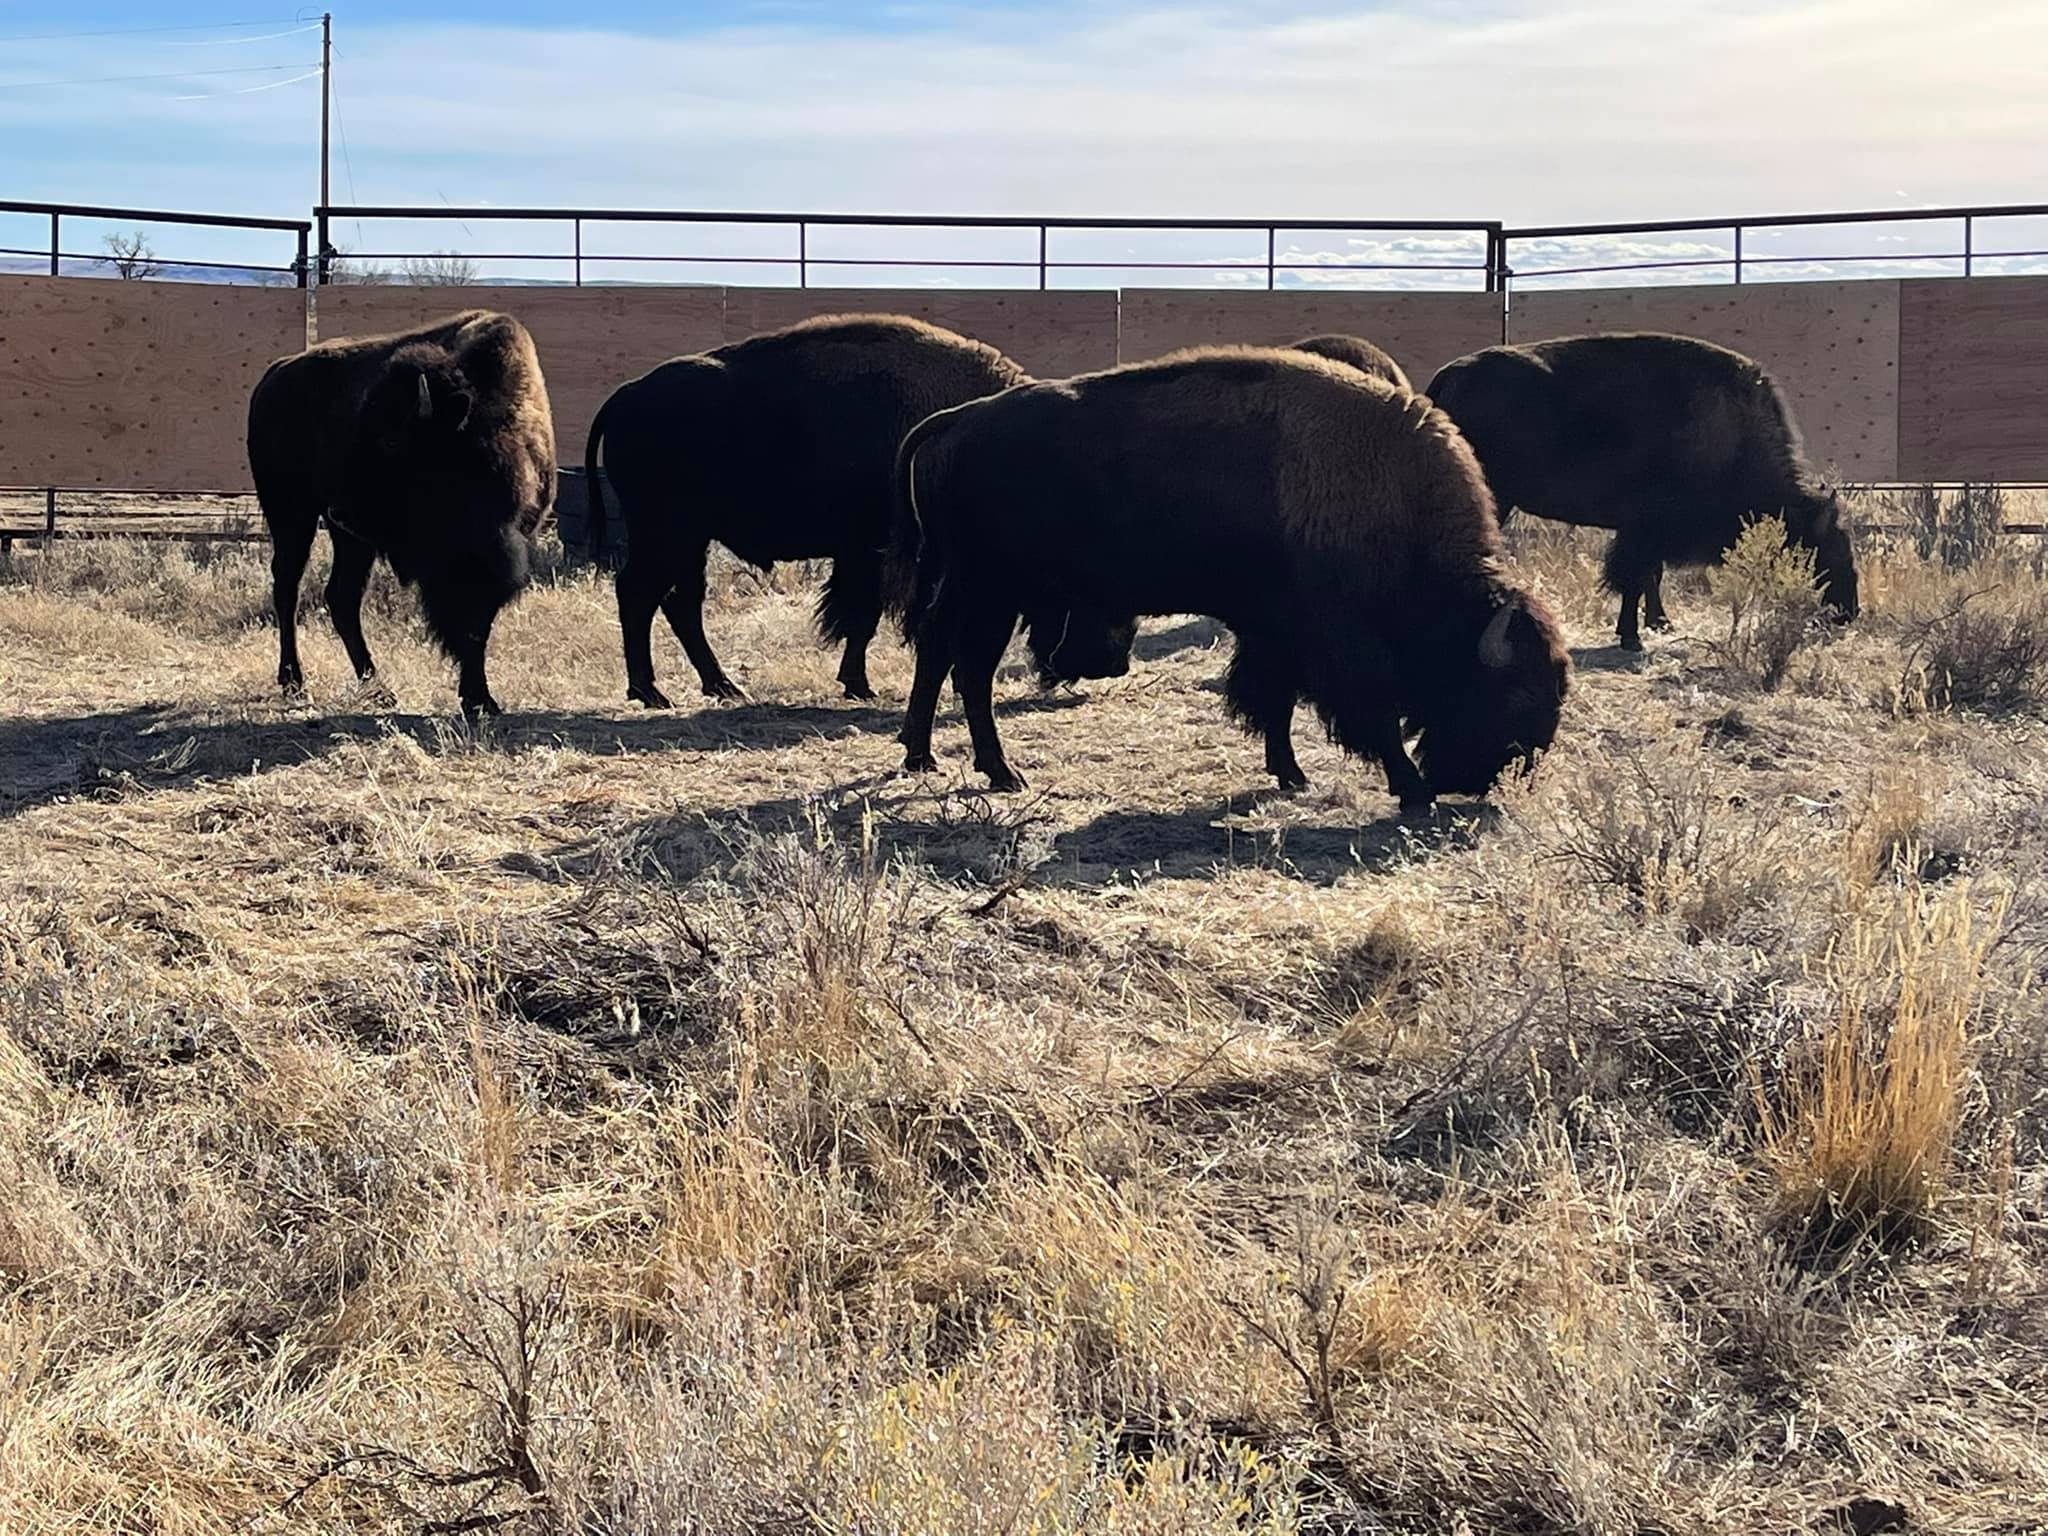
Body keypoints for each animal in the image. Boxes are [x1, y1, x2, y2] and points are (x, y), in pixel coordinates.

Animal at [250, 313, 557, 729]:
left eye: (393, 440)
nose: (341, 509)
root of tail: (273, 376)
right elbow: (463, 623)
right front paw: (477, 698)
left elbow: (477, 624)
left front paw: (479, 699)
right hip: (292, 512)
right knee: (287, 588)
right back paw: (296, 683)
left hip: (350, 539)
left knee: (341, 597)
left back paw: (377, 688)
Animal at [585, 313, 1146, 708]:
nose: (1112, 663)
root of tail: (626, 395)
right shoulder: (882, 555)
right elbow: (868, 616)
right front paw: (862, 684)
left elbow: (866, 616)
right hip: (667, 533)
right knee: (638, 594)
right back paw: (651, 692)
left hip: (691, 539)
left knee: (681, 604)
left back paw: (722, 687)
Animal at [892, 344, 1564, 811]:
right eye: (1516, 693)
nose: (1491, 778)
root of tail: (957, 420)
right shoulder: (1337, 645)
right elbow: (1363, 712)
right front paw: (1412, 790)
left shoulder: (1275, 633)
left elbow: (1275, 700)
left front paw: (1290, 773)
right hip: (991, 589)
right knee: (970, 669)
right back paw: (1001, 772)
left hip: (973, 587)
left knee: (937, 651)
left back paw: (921, 757)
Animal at [1425, 331, 1859, 651]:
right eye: (1831, 549)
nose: (1849, 611)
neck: (1729, 437)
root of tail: (1448, 376)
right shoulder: (1644, 530)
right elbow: (1633, 578)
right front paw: (1632, 638)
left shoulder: (1648, 534)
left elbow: (1651, 576)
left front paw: (1659, 623)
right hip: (1494, 496)